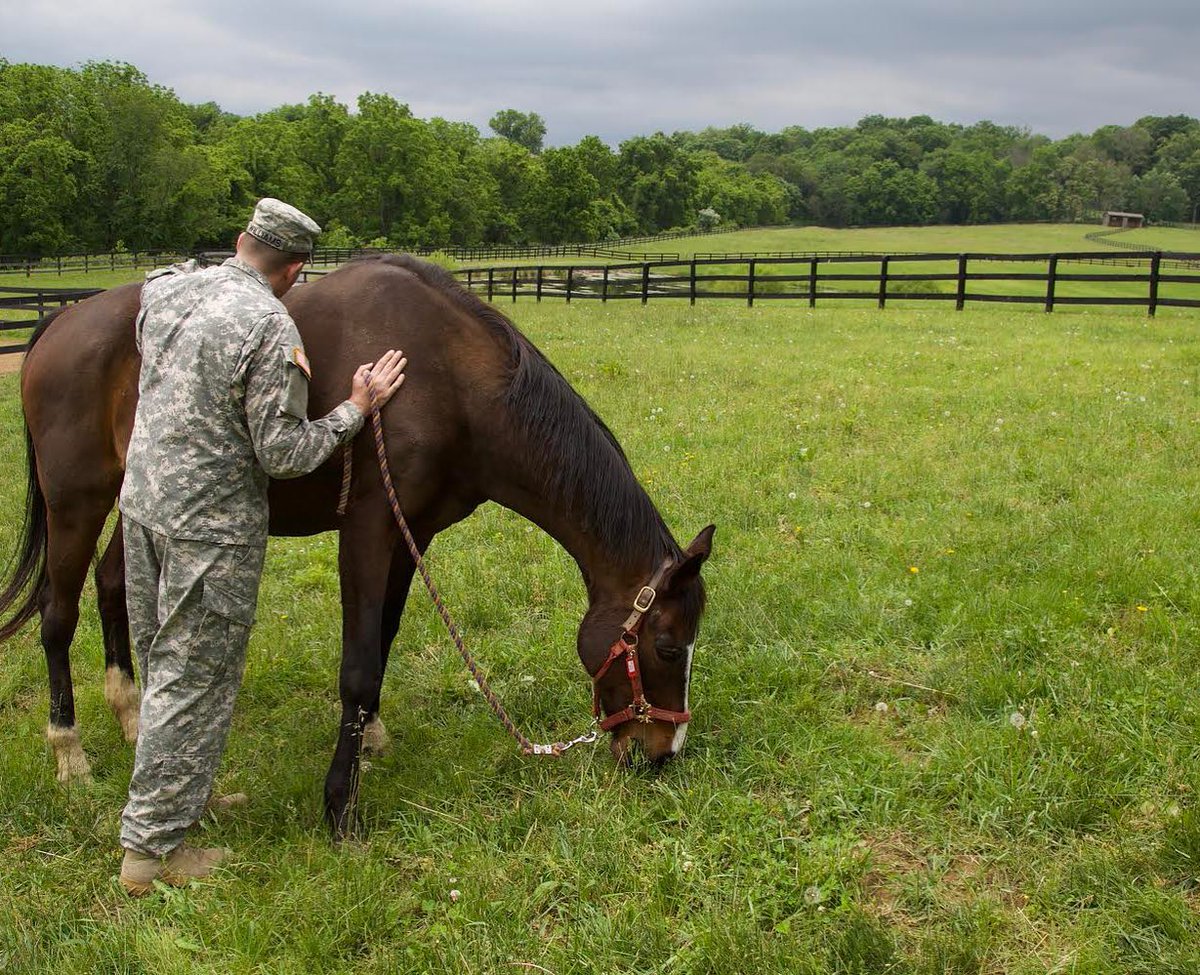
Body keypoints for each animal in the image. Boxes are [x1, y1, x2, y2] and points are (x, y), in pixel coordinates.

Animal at [0, 254, 714, 835]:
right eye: (666, 645)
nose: (663, 755)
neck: (446, 377)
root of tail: (59, 323)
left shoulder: (412, 533)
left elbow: (385, 640)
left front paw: (369, 735)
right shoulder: (368, 529)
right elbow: (359, 664)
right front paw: (339, 806)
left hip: (140, 503)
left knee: (111, 587)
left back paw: (131, 719)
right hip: (76, 503)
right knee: (57, 617)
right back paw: (70, 753)